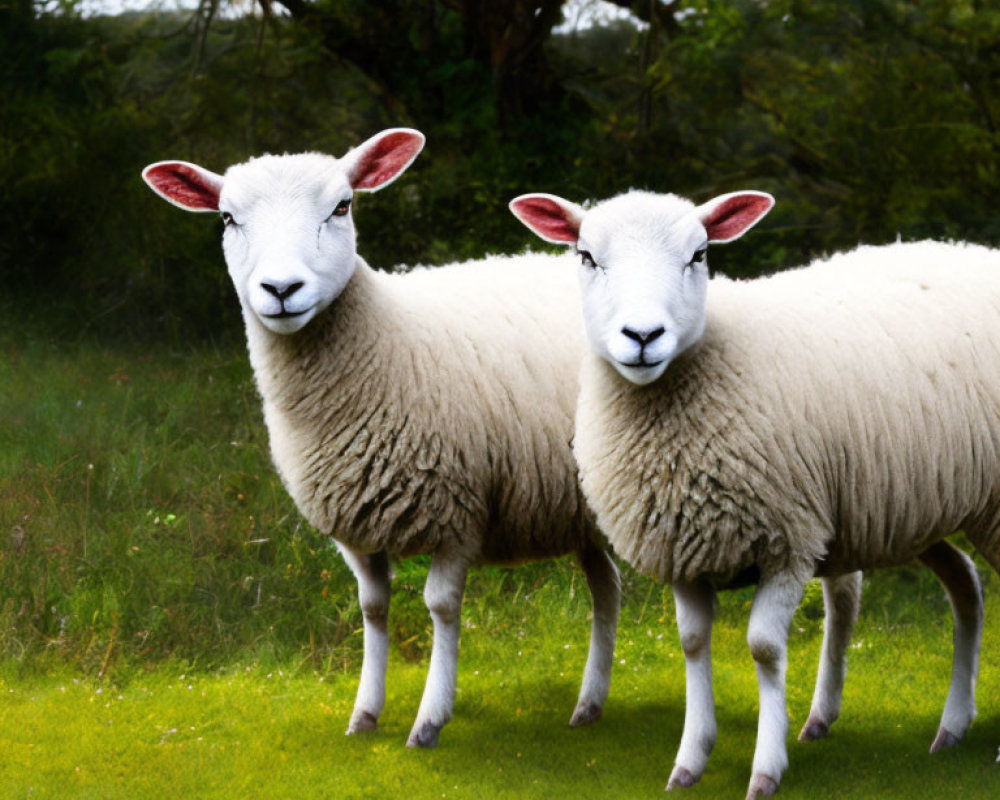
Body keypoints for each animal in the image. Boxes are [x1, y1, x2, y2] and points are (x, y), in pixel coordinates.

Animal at [139, 131, 624, 752]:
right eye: (227, 217)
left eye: (342, 206)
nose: (280, 289)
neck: (387, 341)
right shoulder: (355, 521)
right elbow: (372, 609)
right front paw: (364, 714)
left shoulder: (460, 508)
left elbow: (441, 607)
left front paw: (428, 720)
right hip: (580, 505)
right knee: (606, 587)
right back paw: (589, 705)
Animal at [512, 189, 996, 800]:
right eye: (586, 256)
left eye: (698, 255)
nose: (643, 337)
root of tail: (975, 252)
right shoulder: (685, 546)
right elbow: (693, 642)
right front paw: (690, 761)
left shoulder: (788, 542)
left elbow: (764, 648)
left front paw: (767, 767)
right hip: (908, 510)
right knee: (965, 583)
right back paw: (951, 727)